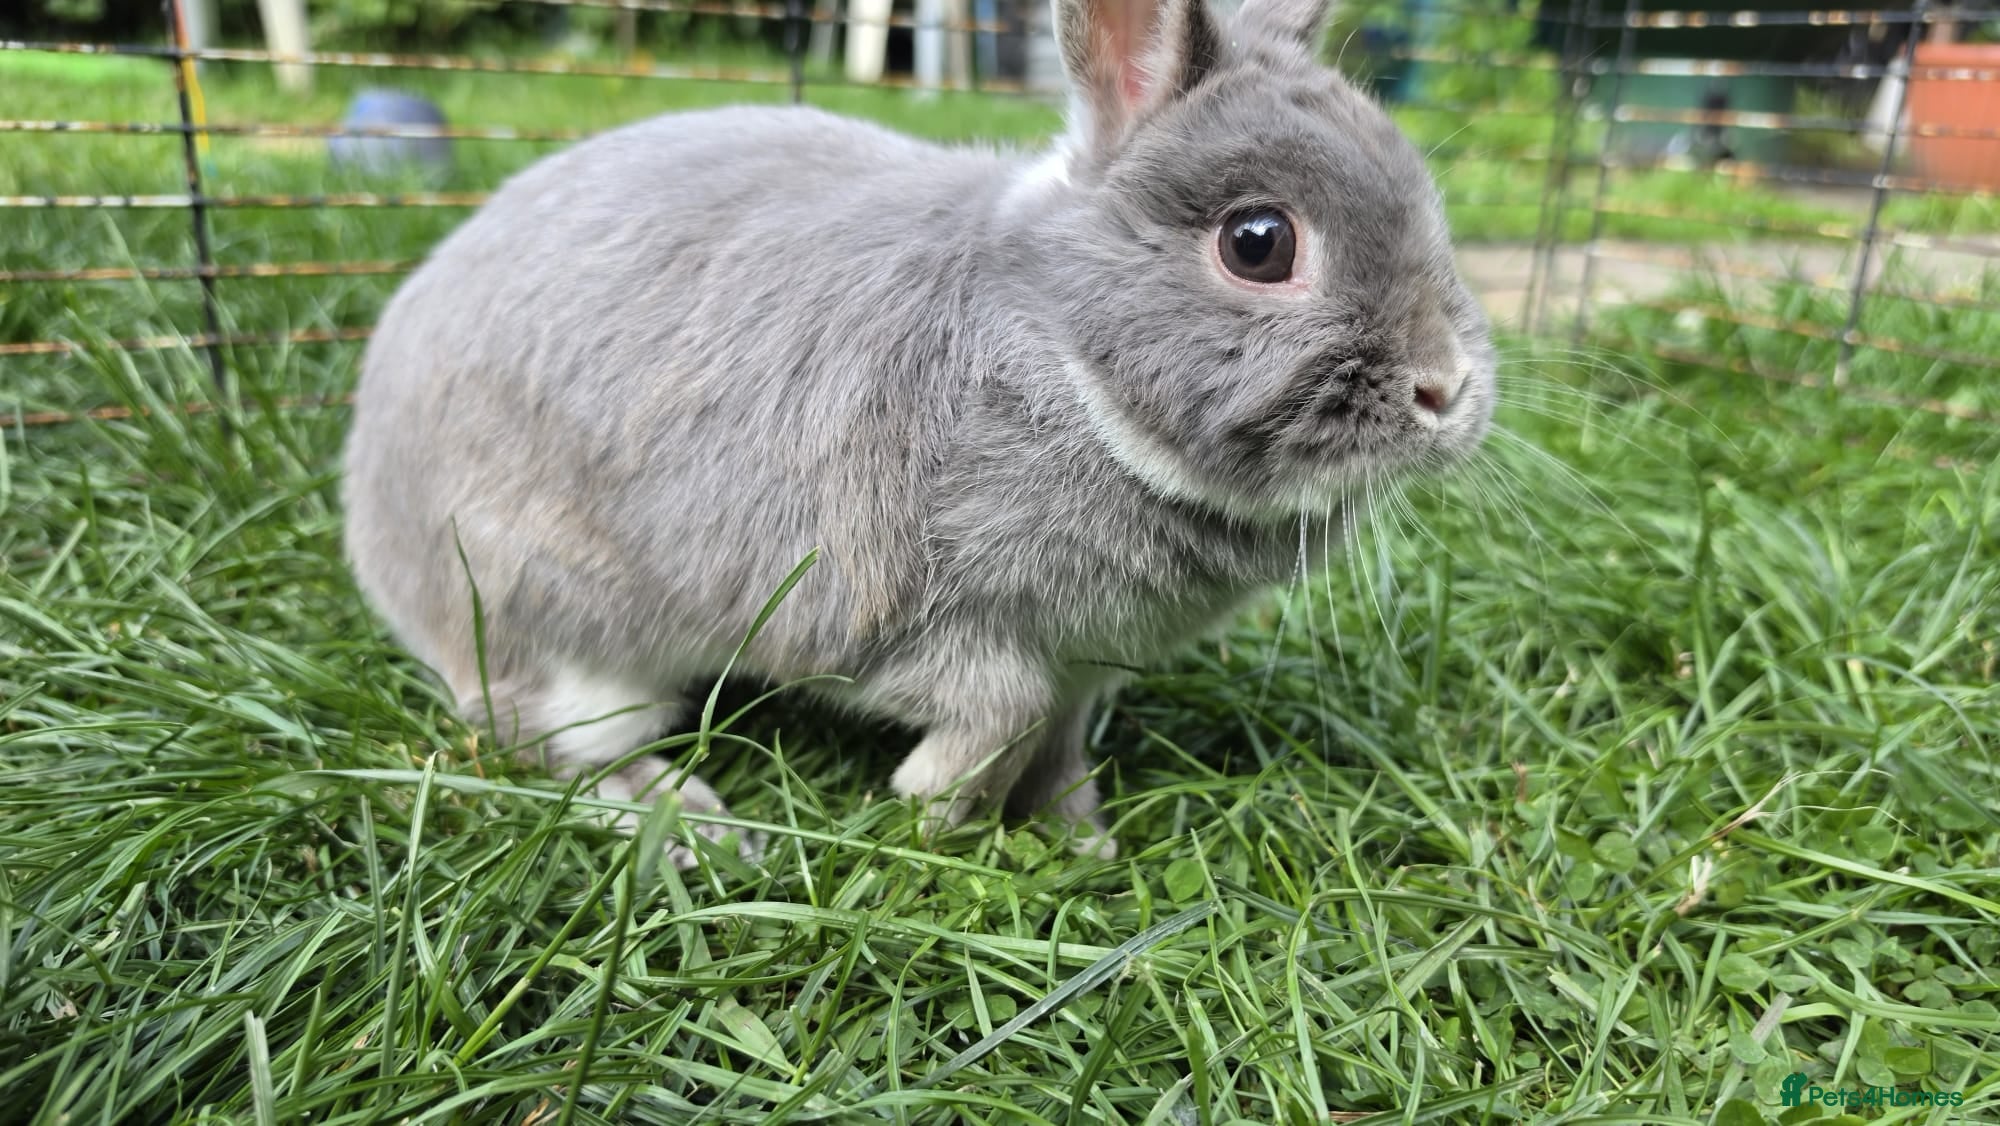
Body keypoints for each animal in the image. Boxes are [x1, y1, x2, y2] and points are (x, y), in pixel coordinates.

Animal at [340, 0, 1497, 868]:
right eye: (1258, 243)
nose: (1446, 388)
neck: (1056, 355)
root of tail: (375, 532)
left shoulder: (1084, 670)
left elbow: (1059, 752)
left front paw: (1081, 845)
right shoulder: (889, 612)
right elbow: (1002, 711)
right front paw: (927, 806)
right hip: (561, 626)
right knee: (533, 735)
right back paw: (692, 821)